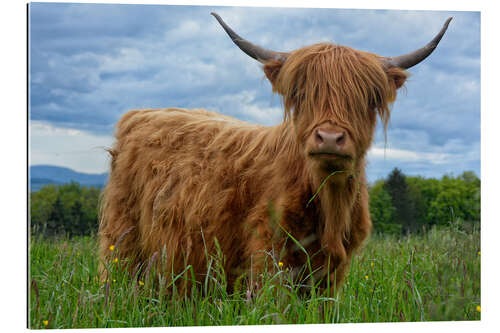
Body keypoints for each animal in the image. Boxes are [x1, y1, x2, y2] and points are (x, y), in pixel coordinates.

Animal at [98, 13, 454, 290]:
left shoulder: (332, 273)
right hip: (122, 239)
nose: (329, 138)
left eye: (368, 98)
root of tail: (141, 113)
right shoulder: (269, 254)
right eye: (301, 94)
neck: (329, 204)